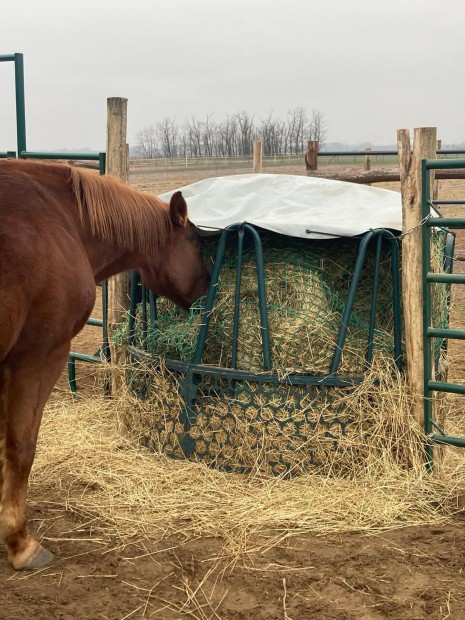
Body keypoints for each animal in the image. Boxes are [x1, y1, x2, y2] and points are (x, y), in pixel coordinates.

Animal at [0, 157, 208, 568]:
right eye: (195, 243)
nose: (210, 288)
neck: (62, 220)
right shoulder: (38, 357)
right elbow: (21, 445)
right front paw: (20, 542)